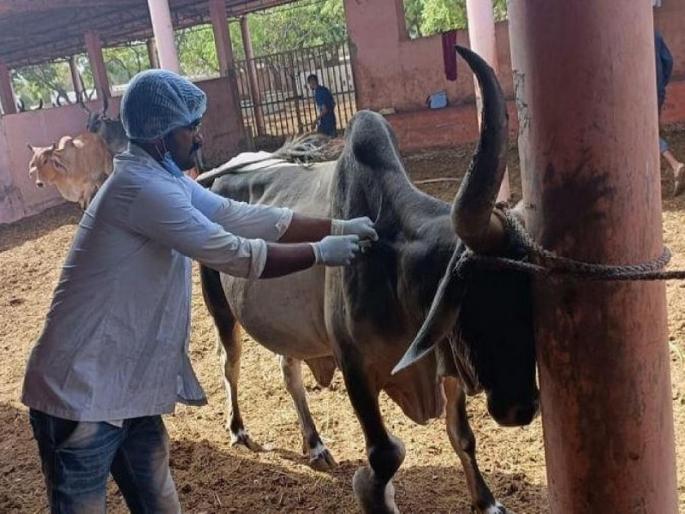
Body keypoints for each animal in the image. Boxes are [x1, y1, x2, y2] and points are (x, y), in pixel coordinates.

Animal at [198, 47, 538, 514]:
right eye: (479, 304)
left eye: (534, 303)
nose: (519, 408)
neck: (395, 267)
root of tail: (217, 172)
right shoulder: (355, 366)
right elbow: (386, 455)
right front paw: (373, 489)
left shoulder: (445, 364)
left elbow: (463, 437)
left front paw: (486, 501)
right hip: (219, 306)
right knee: (228, 363)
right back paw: (238, 428)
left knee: (288, 369)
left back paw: (314, 443)